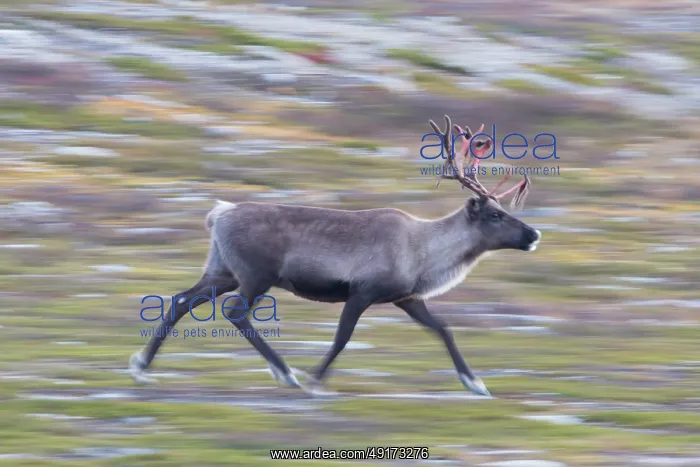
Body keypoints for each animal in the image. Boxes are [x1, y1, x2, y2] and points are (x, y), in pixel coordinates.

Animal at [129, 115, 541, 397]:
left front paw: (476, 383)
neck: (425, 253)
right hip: (256, 276)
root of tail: (218, 214)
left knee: (180, 300)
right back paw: (286, 372)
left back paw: (141, 365)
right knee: (234, 312)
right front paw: (315, 378)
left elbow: (443, 329)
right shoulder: (362, 292)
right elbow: (342, 338)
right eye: (495, 215)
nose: (534, 234)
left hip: (222, 271)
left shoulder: (406, 297)